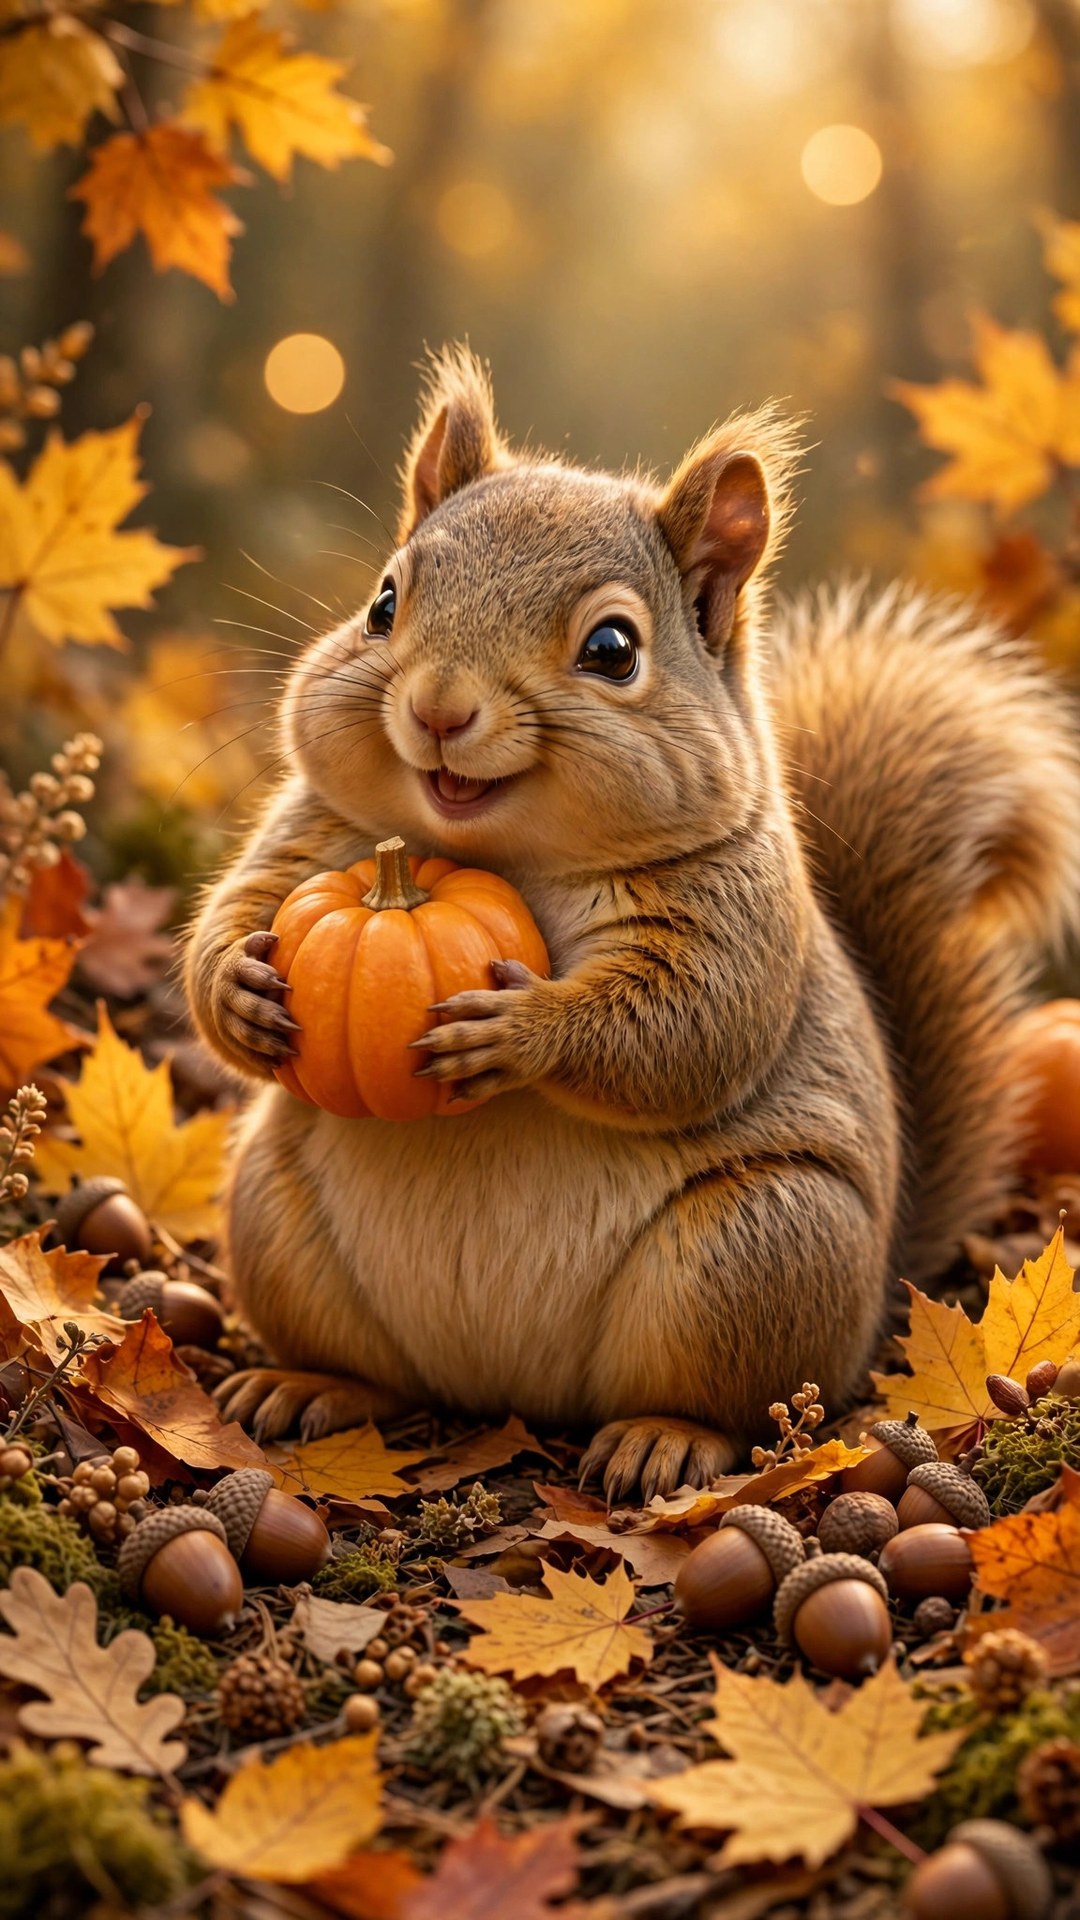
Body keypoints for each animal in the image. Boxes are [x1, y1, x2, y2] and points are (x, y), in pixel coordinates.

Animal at [186, 346, 1080, 1501]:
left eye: (613, 648)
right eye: (383, 602)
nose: (437, 708)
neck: (503, 856)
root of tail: (502, 1393)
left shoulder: (736, 915)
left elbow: (686, 1032)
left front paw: (517, 1034)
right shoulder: (314, 838)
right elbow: (235, 916)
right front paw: (239, 992)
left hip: (758, 1251)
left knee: (730, 1404)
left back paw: (665, 1440)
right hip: (274, 1212)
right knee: (368, 1370)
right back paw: (311, 1387)